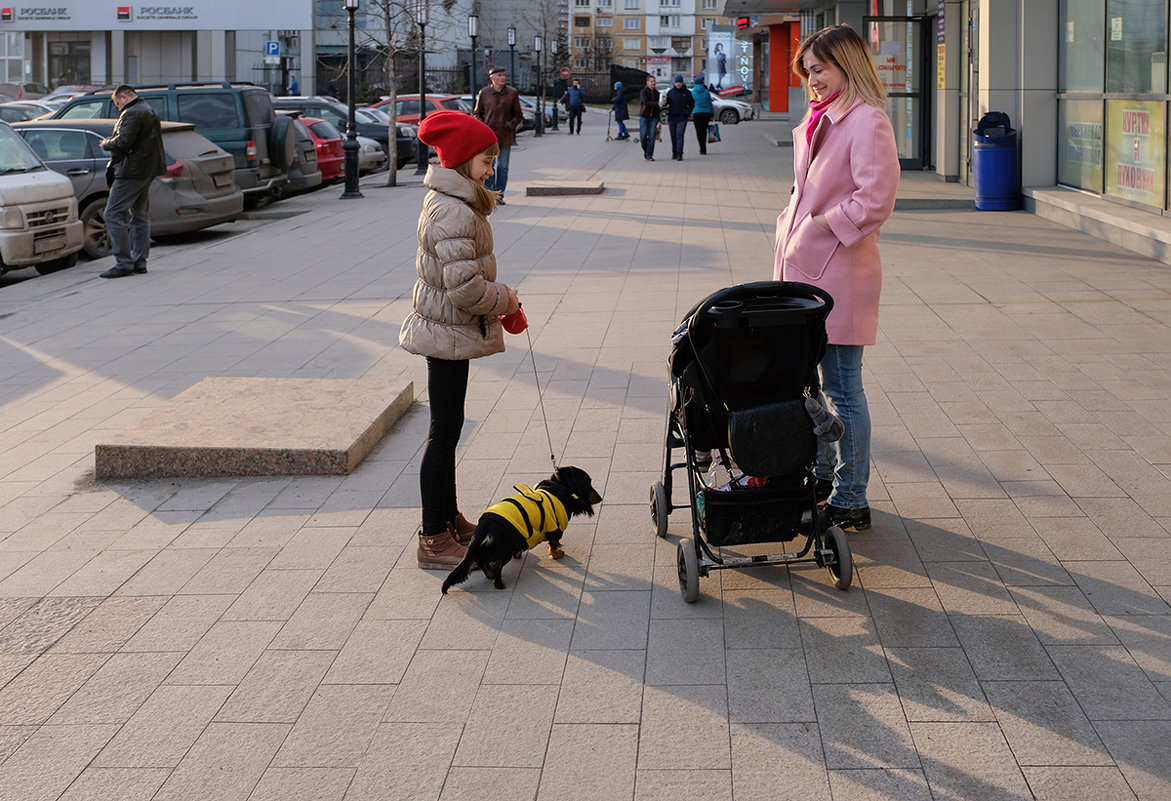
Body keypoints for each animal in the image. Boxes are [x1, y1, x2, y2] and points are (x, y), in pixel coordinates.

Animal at [440, 466, 604, 590]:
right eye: (588, 483)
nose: (601, 498)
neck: (559, 487)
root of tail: (482, 529)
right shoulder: (555, 530)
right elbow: (553, 544)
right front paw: (557, 554)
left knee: (485, 566)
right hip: (503, 551)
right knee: (495, 568)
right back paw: (500, 584)